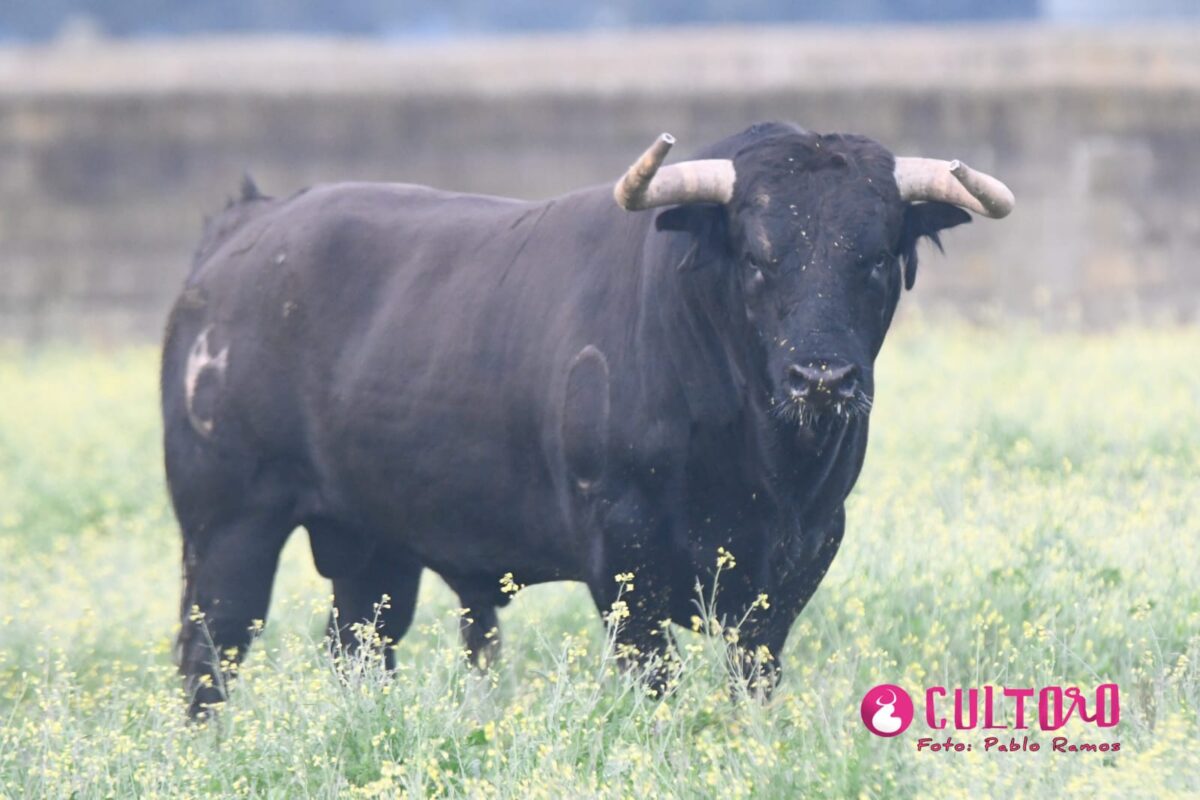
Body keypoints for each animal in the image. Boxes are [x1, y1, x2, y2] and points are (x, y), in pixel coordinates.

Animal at [164, 120, 1008, 714]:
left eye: (876, 257)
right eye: (758, 257)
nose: (821, 377)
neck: (759, 466)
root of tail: (245, 228)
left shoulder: (801, 558)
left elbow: (752, 679)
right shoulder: (625, 557)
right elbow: (655, 679)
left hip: (374, 547)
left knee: (358, 648)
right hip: (227, 526)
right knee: (211, 651)